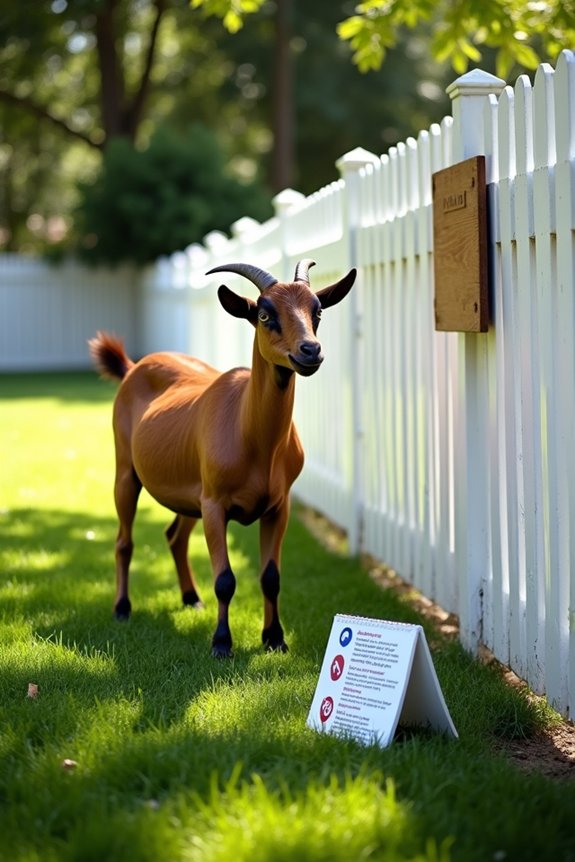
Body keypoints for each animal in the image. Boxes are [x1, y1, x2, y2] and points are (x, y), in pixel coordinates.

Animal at [89, 259, 356, 657]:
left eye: (318, 311)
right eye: (264, 314)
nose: (310, 351)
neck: (253, 438)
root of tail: (133, 366)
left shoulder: (278, 505)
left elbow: (271, 577)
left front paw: (275, 638)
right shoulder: (215, 504)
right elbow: (225, 579)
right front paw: (221, 643)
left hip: (189, 494)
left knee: (174, 536)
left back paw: (190, 598)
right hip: (127, 472)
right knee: (124, 540)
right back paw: (122, 609)